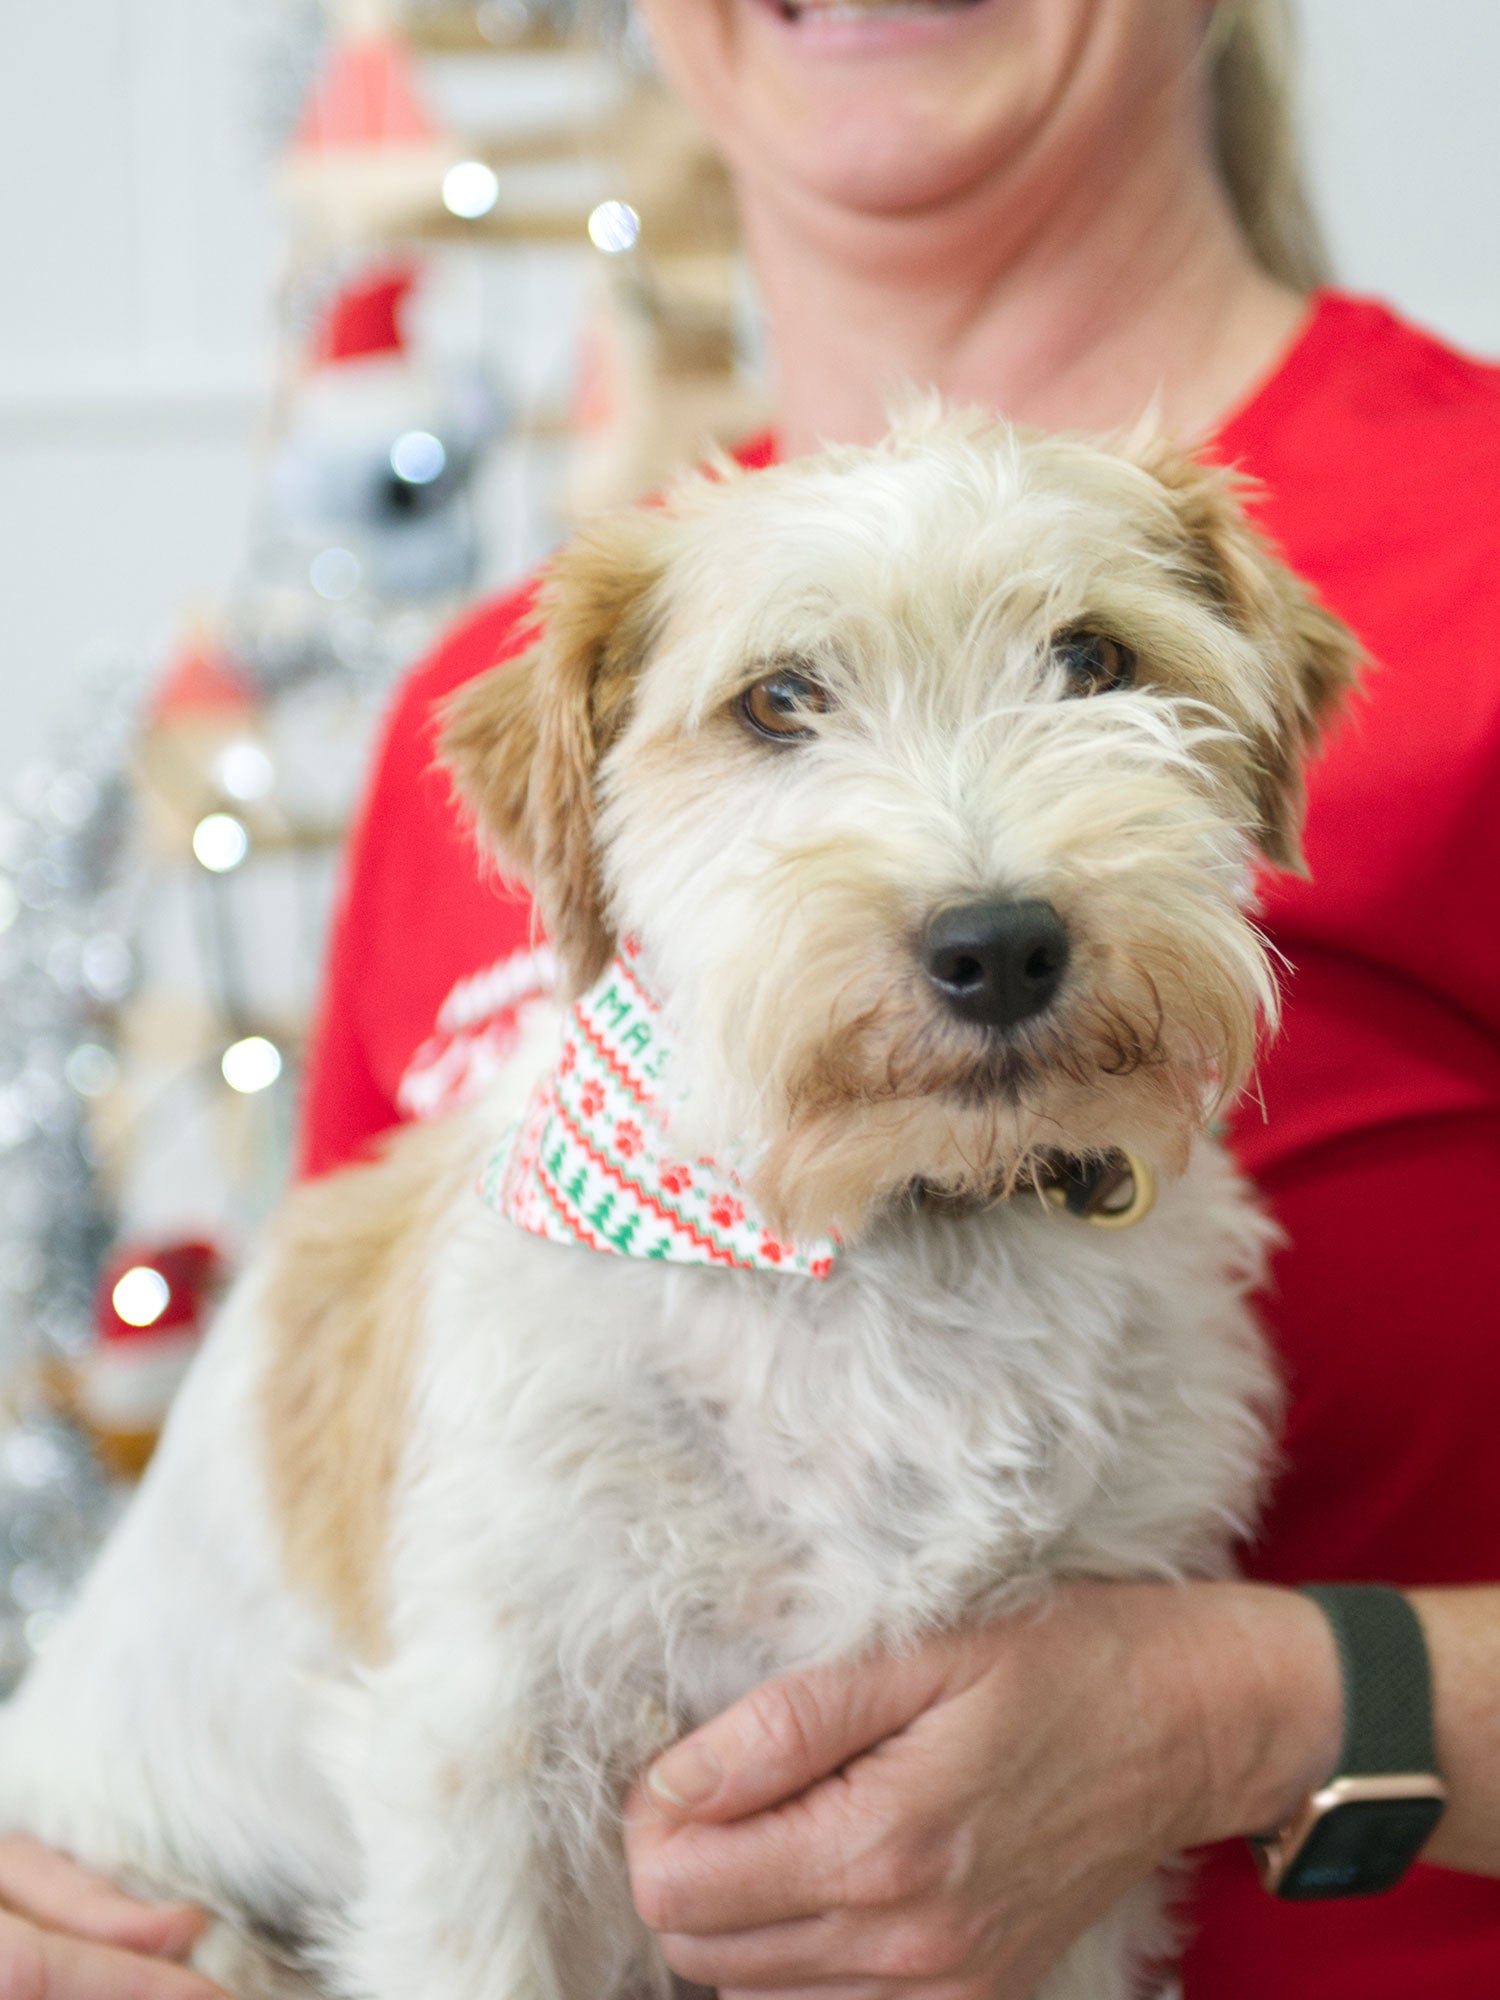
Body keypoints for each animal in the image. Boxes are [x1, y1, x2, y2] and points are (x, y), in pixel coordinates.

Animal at [0, 406, 1360, 2000]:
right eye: (778, 699)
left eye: (1094, 657)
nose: (1000, 945)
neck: (889, 1230)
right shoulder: (481, 1767)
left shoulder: (1059, 1799)